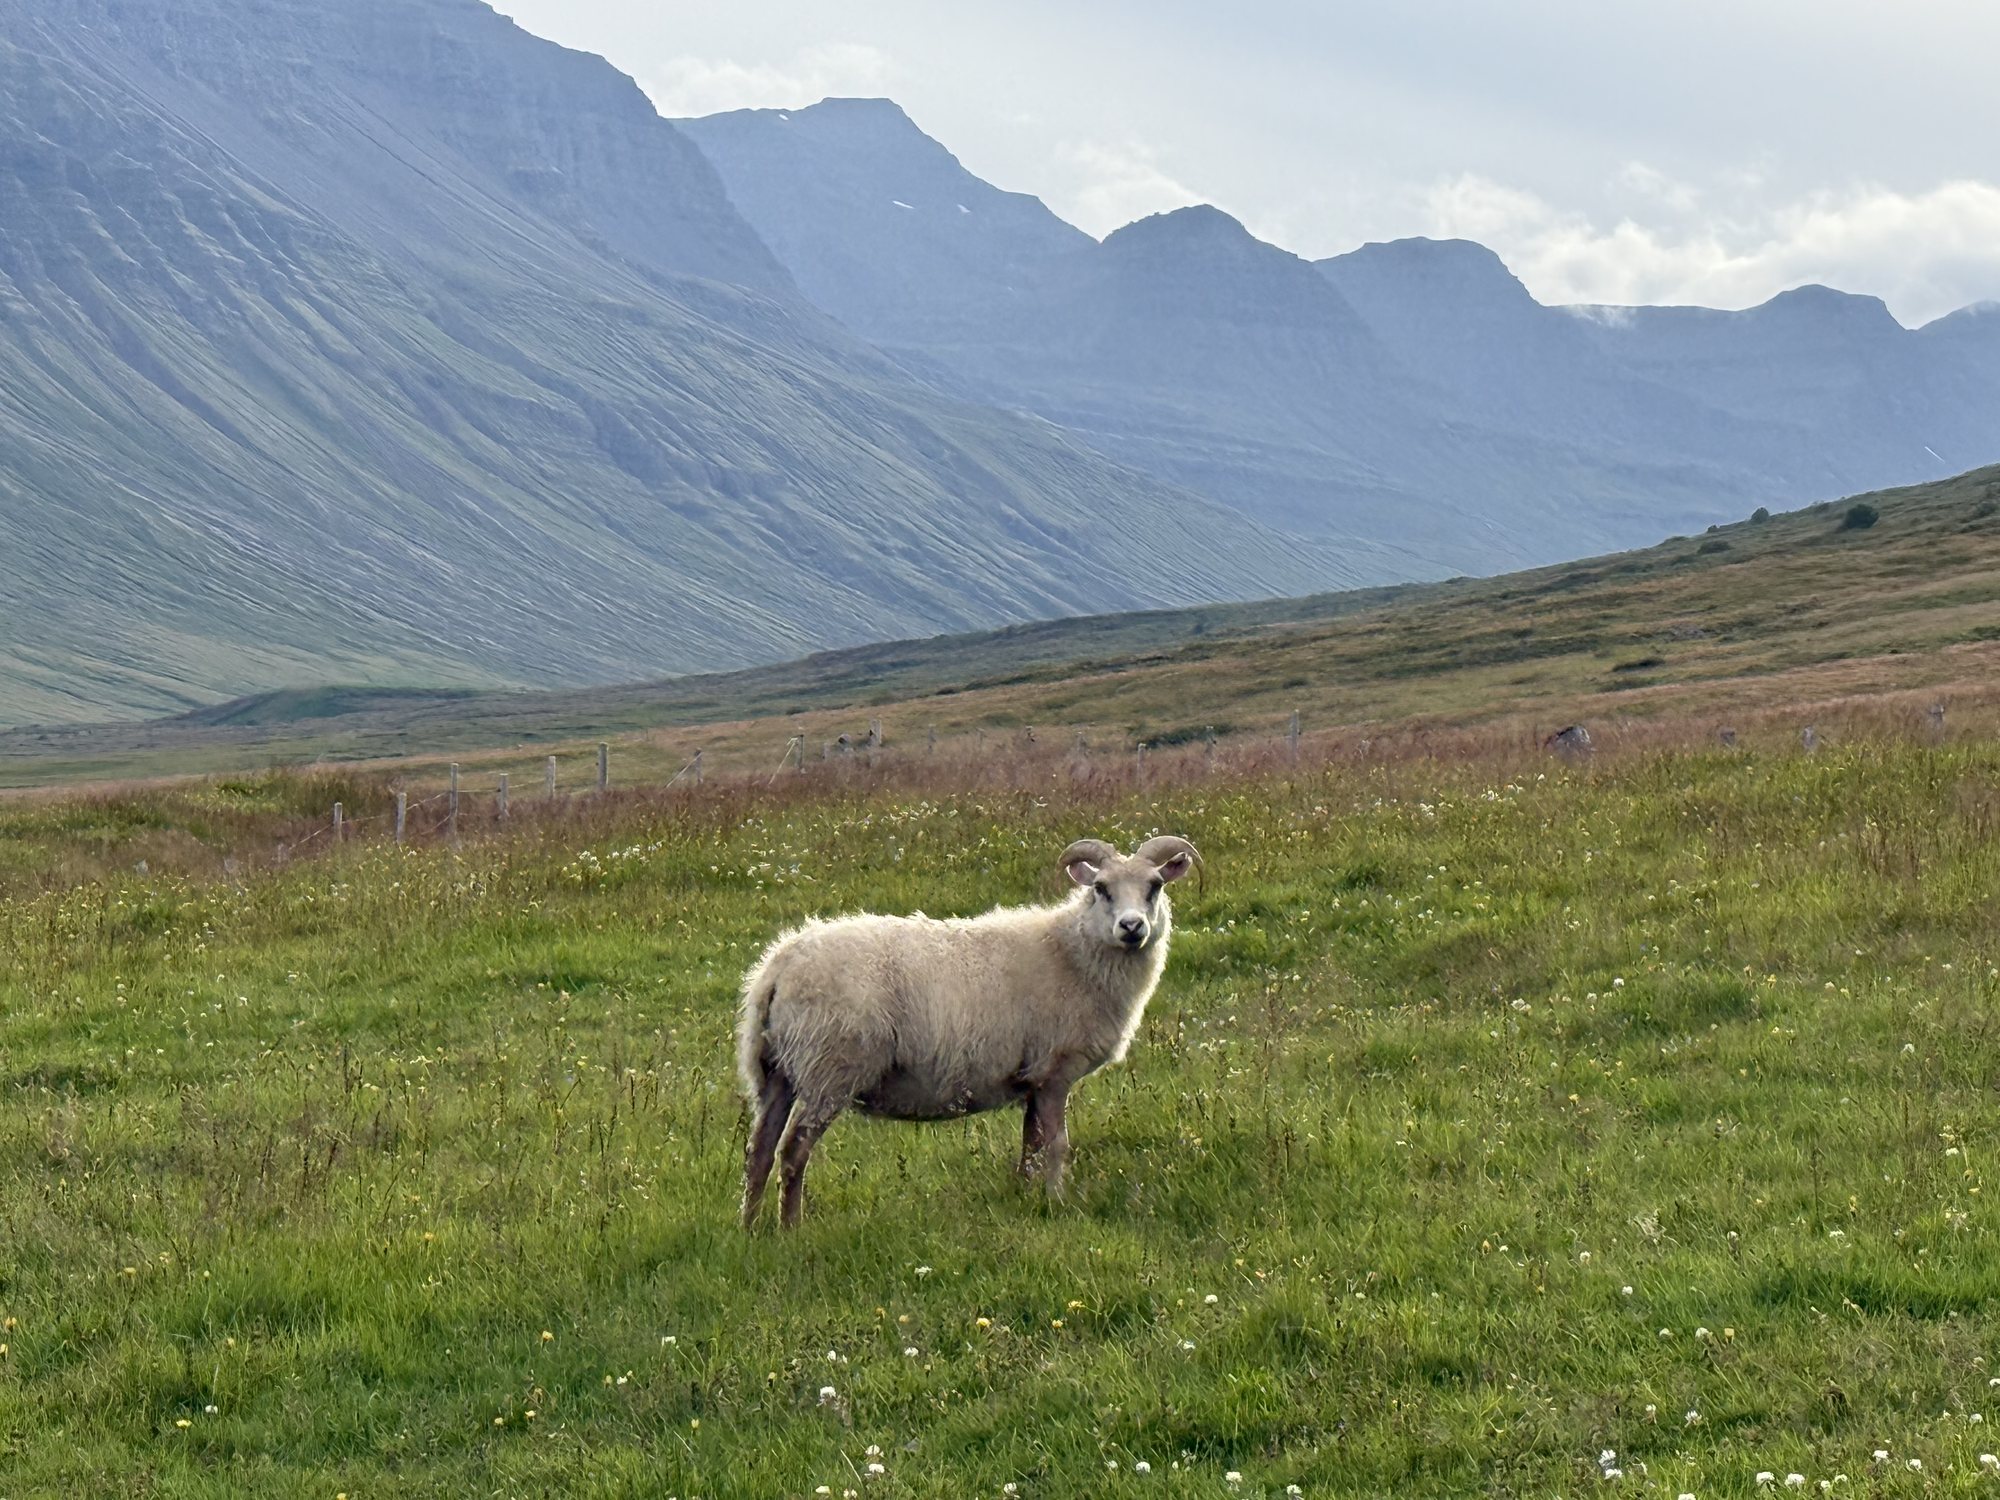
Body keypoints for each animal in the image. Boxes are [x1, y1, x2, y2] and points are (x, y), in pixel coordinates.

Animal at [735, 834, 1199, 1228]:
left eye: (1155, 886)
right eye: (1101, 888)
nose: (1132, 927)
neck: (1073, 951)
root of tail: (777, 969)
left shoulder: (1032, 1077)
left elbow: (1030, 1145)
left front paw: (1026, 1197)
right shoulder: (1054, 1071)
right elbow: (1056, 1145)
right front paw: (1058, 1201)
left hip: (777, 1072)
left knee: (759, 1150)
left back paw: (750, 1229)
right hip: (829, 1068)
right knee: (794, 1151)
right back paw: (791, 1229)